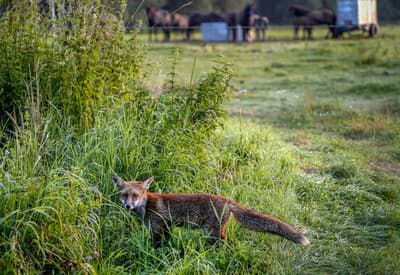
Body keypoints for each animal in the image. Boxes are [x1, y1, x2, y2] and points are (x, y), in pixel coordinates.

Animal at [112, 176, 310, 249]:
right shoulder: (166, 228)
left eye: (135, 195)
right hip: (216, 230)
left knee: (221, 243)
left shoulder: (157, 229)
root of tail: (228, 200)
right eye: (124, 195)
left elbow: (156, 246)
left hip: (211, 231)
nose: (128, 206)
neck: (147, 205)